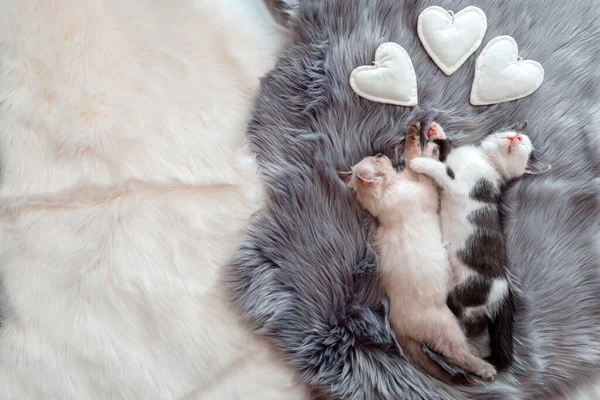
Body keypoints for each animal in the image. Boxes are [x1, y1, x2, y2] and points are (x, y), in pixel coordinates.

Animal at [410, 120, 552, 370]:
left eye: (525, 146)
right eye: (515, 132)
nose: (516, 137)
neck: (484, 158)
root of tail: (506, 291)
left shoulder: (460, 183)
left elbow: (441, 170)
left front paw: (419, 162)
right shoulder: (453, 162)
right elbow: (445, 154)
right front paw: (437, 132)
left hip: (468, 293)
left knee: (468, 322)